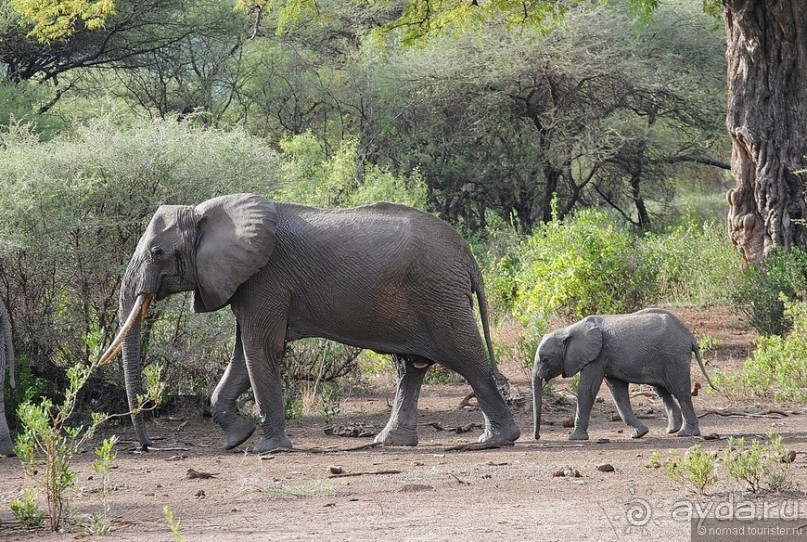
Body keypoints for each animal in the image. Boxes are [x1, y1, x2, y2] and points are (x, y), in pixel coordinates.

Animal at [101, 193, 520, 452]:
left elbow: (259, 349)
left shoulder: (265, 279)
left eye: (157, 252)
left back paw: (496, 440)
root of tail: (467, 256)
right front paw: (237, 439)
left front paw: (264, 448)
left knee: (466, 359)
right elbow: (243, 356)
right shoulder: (246, 283)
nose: (145, 445)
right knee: (411, 367)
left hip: (439, 296)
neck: (209, 212)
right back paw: (388, 443)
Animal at [532, 310, 716, 442]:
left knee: (680, 391)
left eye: (545, 359)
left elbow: (587, 389)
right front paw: (639, 433)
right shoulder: (606, 358)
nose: (538, 437)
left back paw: (685, 433)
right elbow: (618, 393)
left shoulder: (597, 356)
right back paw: (672, 430)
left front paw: (575, 438)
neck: (568, 330)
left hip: (674, 357)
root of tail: (690, 336)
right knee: (662, 390)